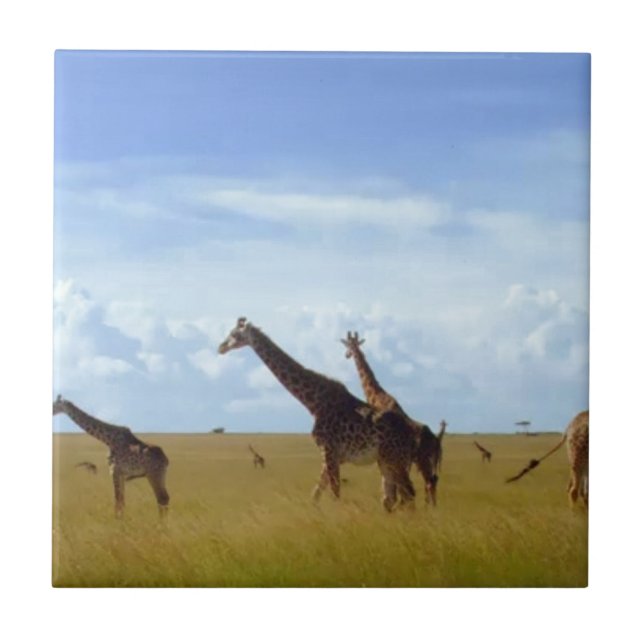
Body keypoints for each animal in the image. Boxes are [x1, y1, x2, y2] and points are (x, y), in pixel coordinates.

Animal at [218, 318, 417, 511]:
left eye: (234, 333)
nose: (221, 347)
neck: (314, 403)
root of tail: (412, 433)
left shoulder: (329, 450)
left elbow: (335, 493)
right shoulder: (329, 455)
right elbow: (316, 494)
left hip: (395, 459)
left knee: (408, 495)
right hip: (385, 460)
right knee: (392, 498)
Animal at [340, 331, 446, 506]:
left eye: (348, 345)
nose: (347, 355)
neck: (378, 397)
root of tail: (437, 440)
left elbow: (392, 489)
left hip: (423, 459)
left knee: (429, 482)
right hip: (427, 460)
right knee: (433, 480)